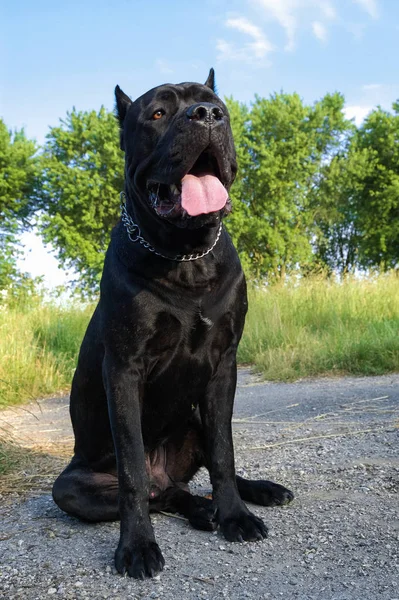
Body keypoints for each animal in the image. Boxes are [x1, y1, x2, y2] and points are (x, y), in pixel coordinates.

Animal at [52, 69, 294, 576]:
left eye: (218, 106)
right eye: (158, 113)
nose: (206, 115)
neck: (186, 258)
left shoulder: (224, 365)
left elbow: (224, 452)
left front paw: (236, 517)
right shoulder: (124, 370)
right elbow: (132, 472)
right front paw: (137, 546)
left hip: (195, 421)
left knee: (192, 477)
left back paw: (253, 494)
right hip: (71, 487)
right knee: (161, 492)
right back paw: (199, 510)